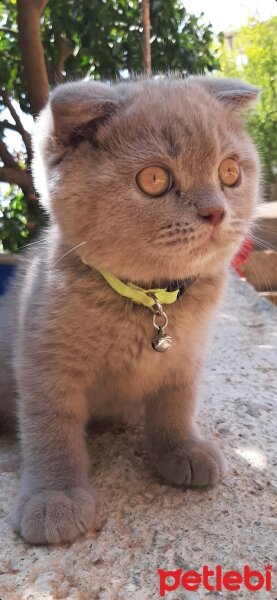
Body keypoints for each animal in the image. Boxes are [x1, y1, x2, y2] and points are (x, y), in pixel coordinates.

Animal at [0, 75, 258, 544]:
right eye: (154, 179)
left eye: (230, 173)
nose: (216, 211)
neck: (147, 299)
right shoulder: (44, 360)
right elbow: (50, 428)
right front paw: (54, 497)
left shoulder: (187, 355)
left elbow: (177, 404)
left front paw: (183, 449)